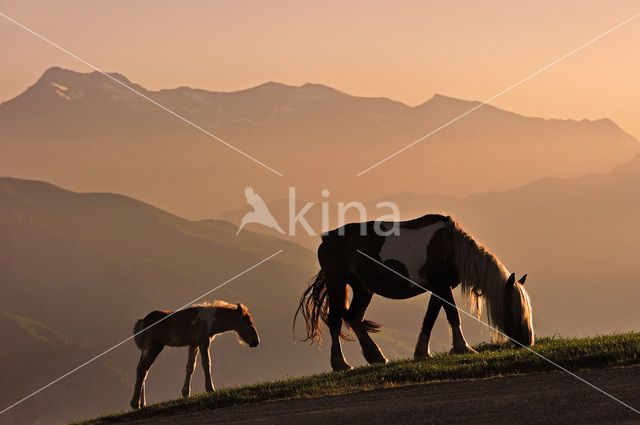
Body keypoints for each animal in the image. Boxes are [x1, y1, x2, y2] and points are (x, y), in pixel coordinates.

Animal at [130, 300, 260, 410]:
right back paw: (135, 404)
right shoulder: (204, 342)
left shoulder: (194, 345)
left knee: (141, 369)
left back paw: (142, 403)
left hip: (146, 350)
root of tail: (142, 322)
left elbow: (190, 367)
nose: (256, 341)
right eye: (248, 322)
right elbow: (206, 363)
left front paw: (186, 393)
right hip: (155, 348)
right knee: (143, 369)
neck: (211, 320)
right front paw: (210, 389)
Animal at [296, 214, 536, 370]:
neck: (450, 247)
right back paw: (341, 364)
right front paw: (463, 348)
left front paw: (422, 352)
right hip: (337, 283)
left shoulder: (438, 288)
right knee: (336, 321)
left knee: (354, 317)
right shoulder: (442, 287)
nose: (528, 340)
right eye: (514, 308)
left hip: (363, 288)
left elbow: (430, 318)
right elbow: (452, 314)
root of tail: (326, 239)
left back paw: (376, 356)